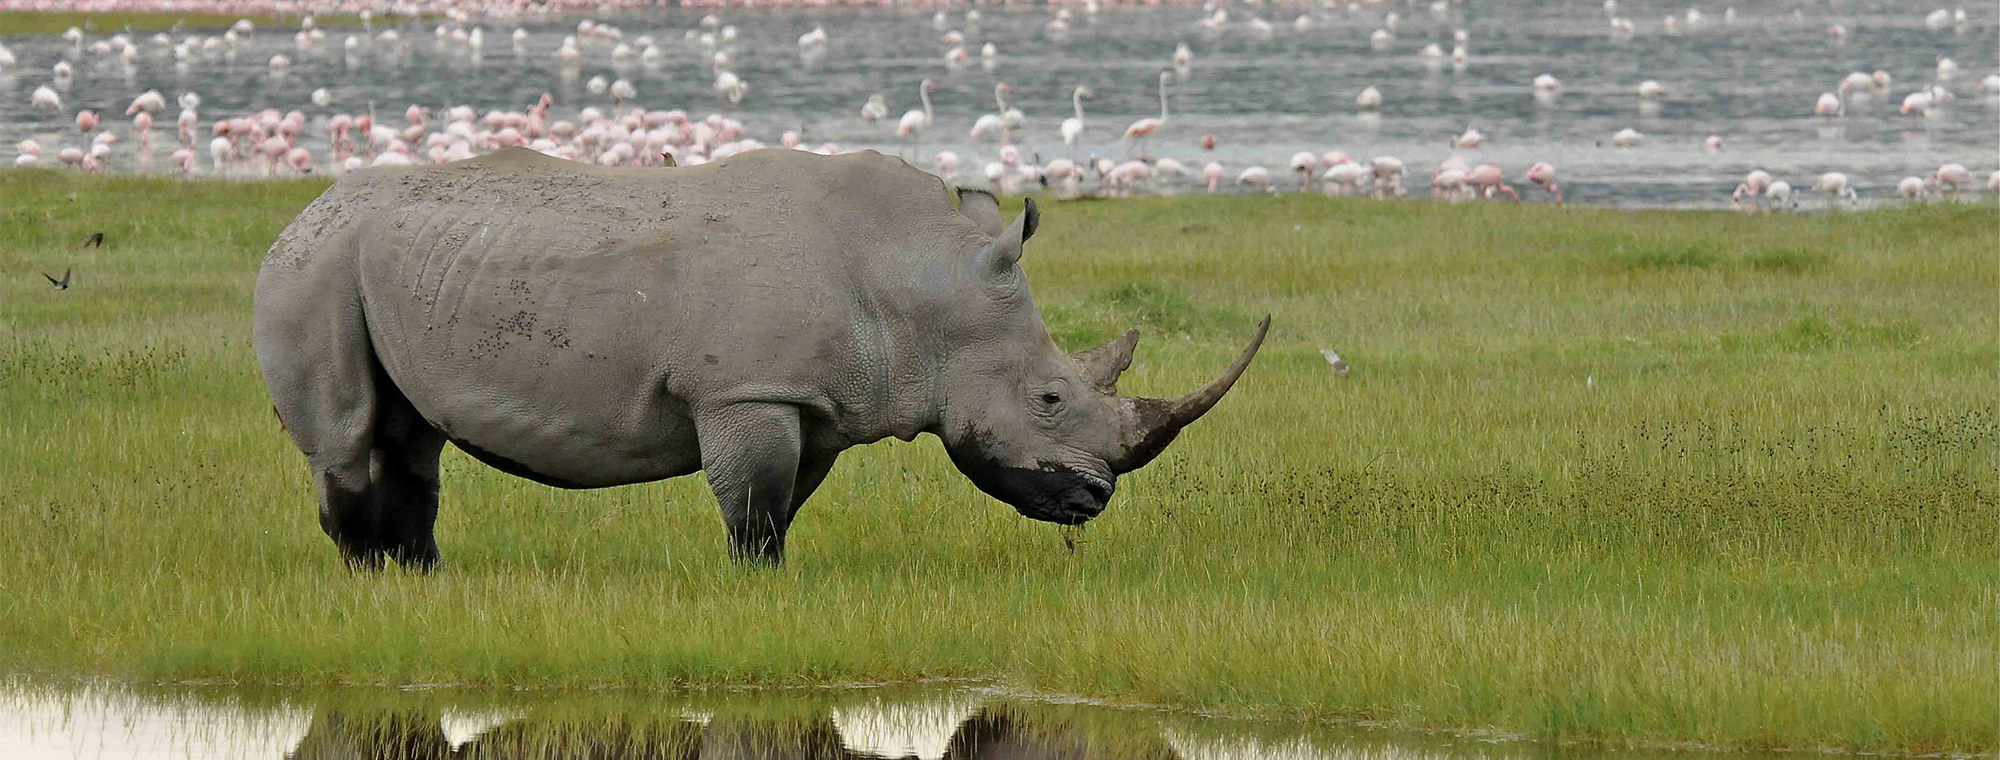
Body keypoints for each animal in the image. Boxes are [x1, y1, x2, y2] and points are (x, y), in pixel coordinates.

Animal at [254, 147, 1267, 568]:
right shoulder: (746, 391)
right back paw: (369, 580)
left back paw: (422, 580)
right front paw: (753, 589)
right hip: (312, 271)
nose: (1094, 501)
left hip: (378, 262)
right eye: (1052, 399)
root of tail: (301, 213)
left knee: (412, 434)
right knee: (347, 432)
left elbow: (782, 506)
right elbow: (752, 507)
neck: (919, 285)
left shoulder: (813, 402)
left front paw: (772, 582)